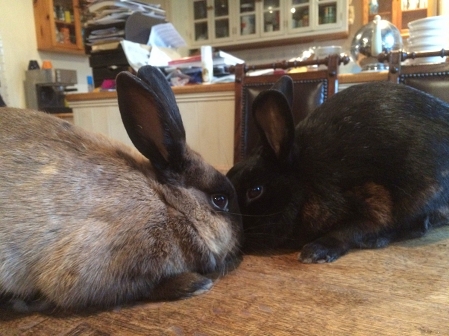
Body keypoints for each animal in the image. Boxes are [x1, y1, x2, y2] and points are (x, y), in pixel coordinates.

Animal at [228, 78, 448, 262]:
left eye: (255, 191)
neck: (303, 179)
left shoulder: (374, 200)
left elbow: (351, 230)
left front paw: (316, 251)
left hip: (422, 194)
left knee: (420, 225)